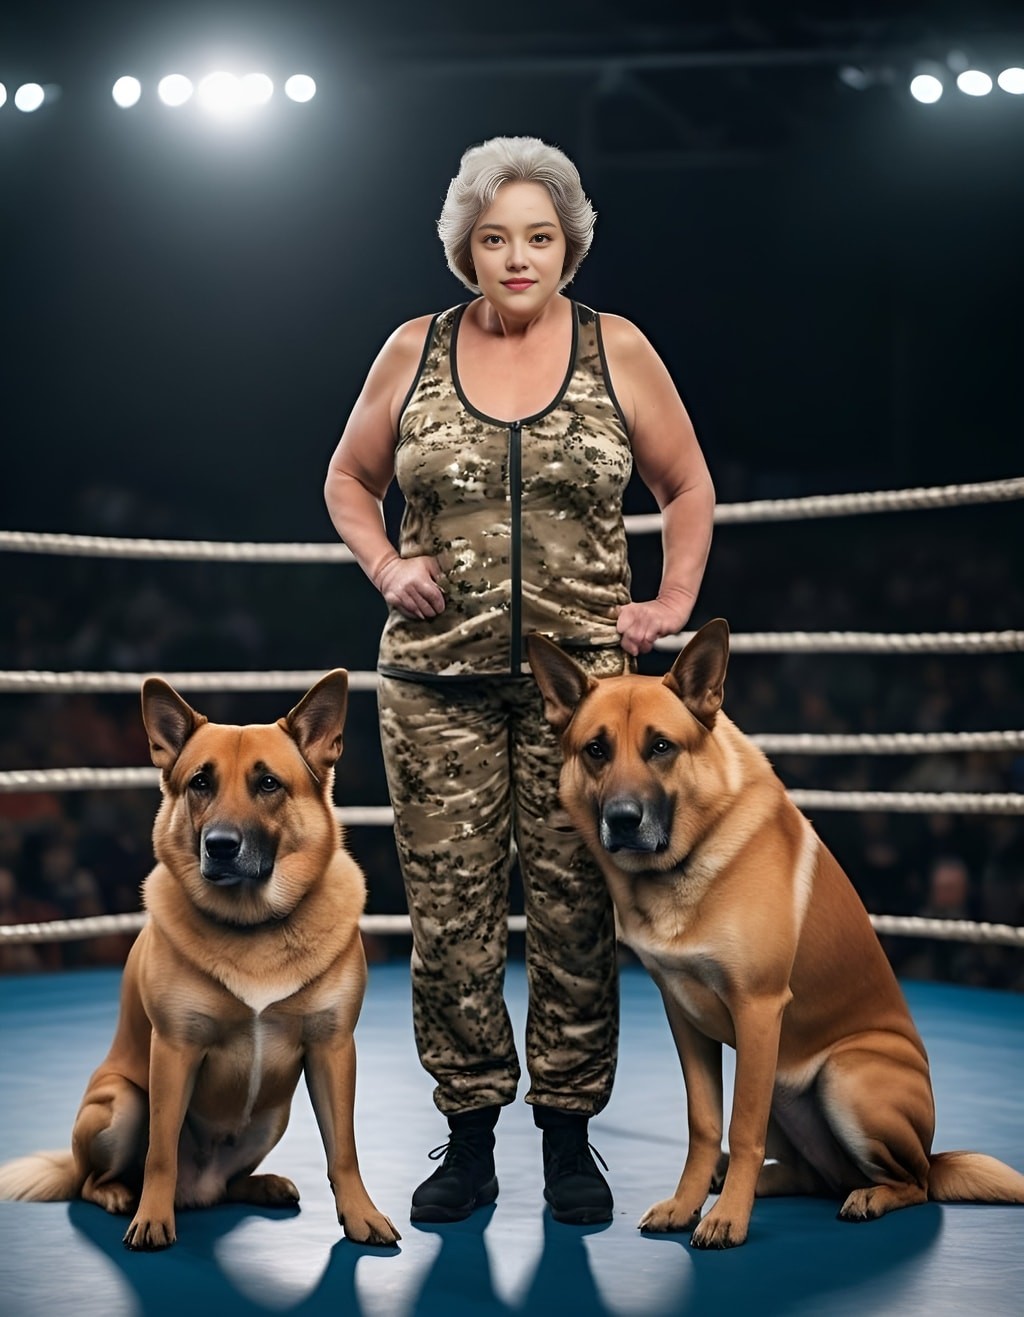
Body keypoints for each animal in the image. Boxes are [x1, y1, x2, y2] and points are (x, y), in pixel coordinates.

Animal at [0, 674, 400, 1248]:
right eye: (200, 783)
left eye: (269, 784)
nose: (221, 846)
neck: (254, 924)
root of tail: (200, 1190)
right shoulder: (174, 1051)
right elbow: (161, 1153)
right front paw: (152, 1218)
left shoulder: (332, 1049)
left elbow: (343, 1147)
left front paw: (361, 1213)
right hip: (123, 1104)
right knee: (94, 1180)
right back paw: (120, 1194)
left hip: (272, 1115)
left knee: (228, 1185)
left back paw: (259, 1185)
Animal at [526, 621, 1021, 1248]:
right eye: (596, 750)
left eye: (661, 747)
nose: (622, 819)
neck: (687, 862)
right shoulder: (684, 1017)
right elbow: (705, 1122)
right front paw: (688, 1202)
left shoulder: (758, 1011)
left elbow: (741, 1125)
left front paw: (727, 1220)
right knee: (814, 1175)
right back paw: (742, 1183)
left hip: (846, 1075)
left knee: (913, 1183)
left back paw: (865, 1196)